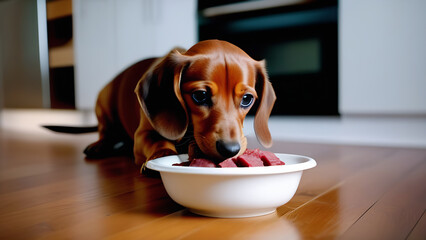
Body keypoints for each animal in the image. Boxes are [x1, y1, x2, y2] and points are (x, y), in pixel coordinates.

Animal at [83, 39, 276, 171]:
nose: (230, 149)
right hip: (103, 103)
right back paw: (98, 145)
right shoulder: (142, 135)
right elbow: (158, 141)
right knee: (105, 131)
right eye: (200, 95)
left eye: (247, 99)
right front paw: (163, 154)